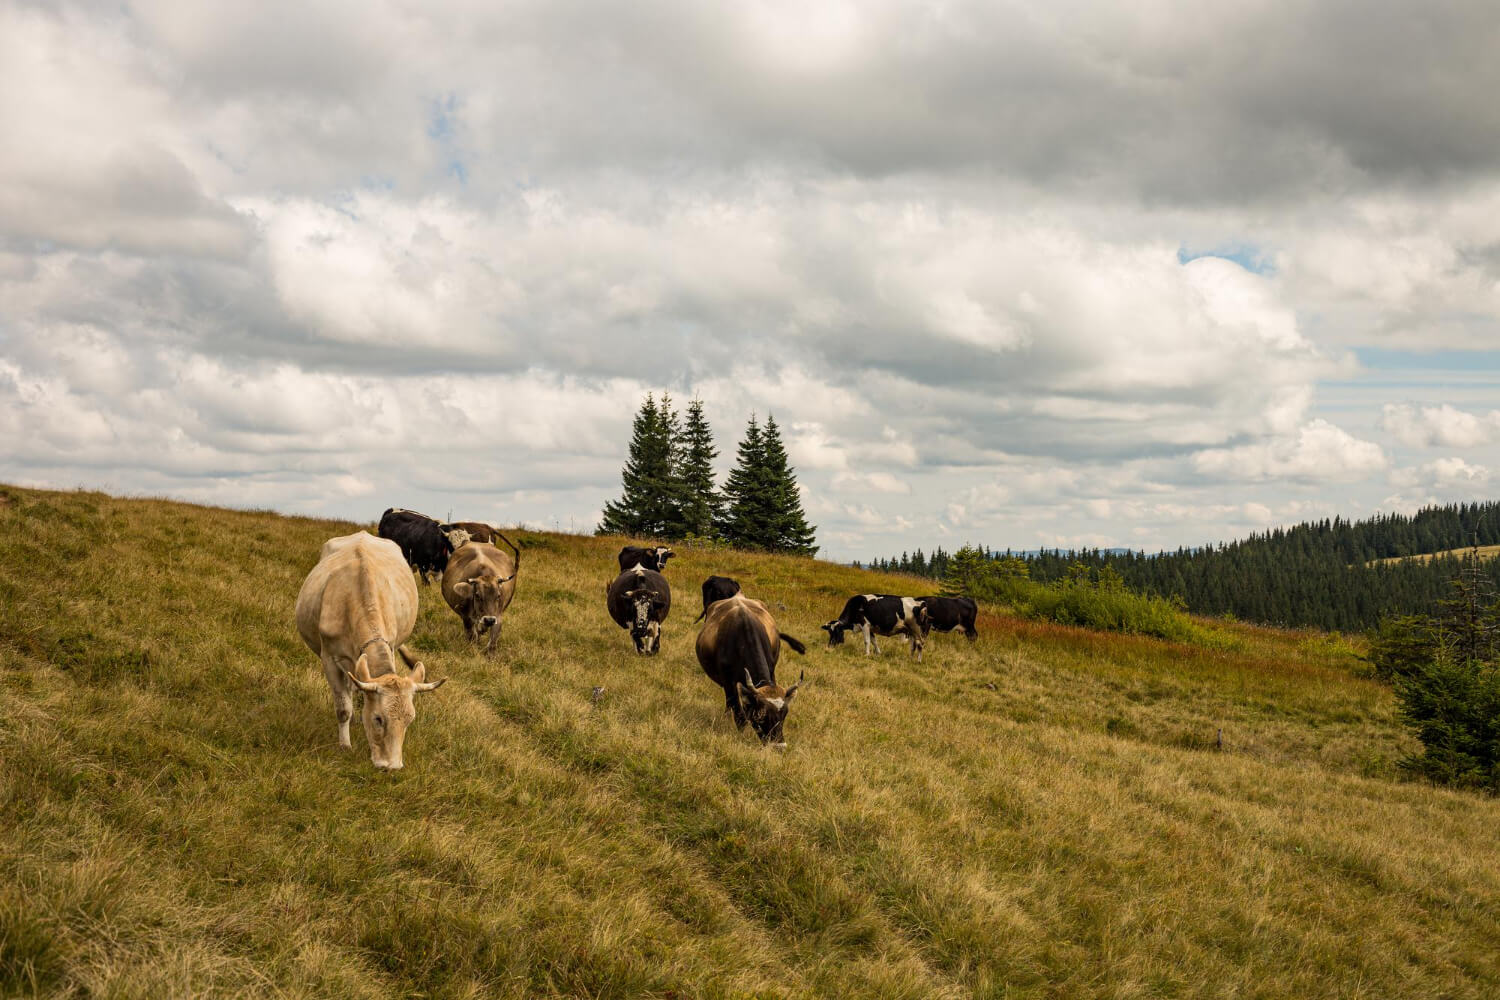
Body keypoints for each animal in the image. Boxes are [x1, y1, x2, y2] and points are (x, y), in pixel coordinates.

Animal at [292, 536, 444, 773]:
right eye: (378, 718)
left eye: (409, 720)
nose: (392, 766)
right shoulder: (329, 658)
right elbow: (342, 707)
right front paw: (345, 745)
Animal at [693, 590, 804, 746]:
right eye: (761, 715)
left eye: (784, 714)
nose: (779, 746)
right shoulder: (729, 683)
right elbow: (740, 715)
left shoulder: (770, 671)